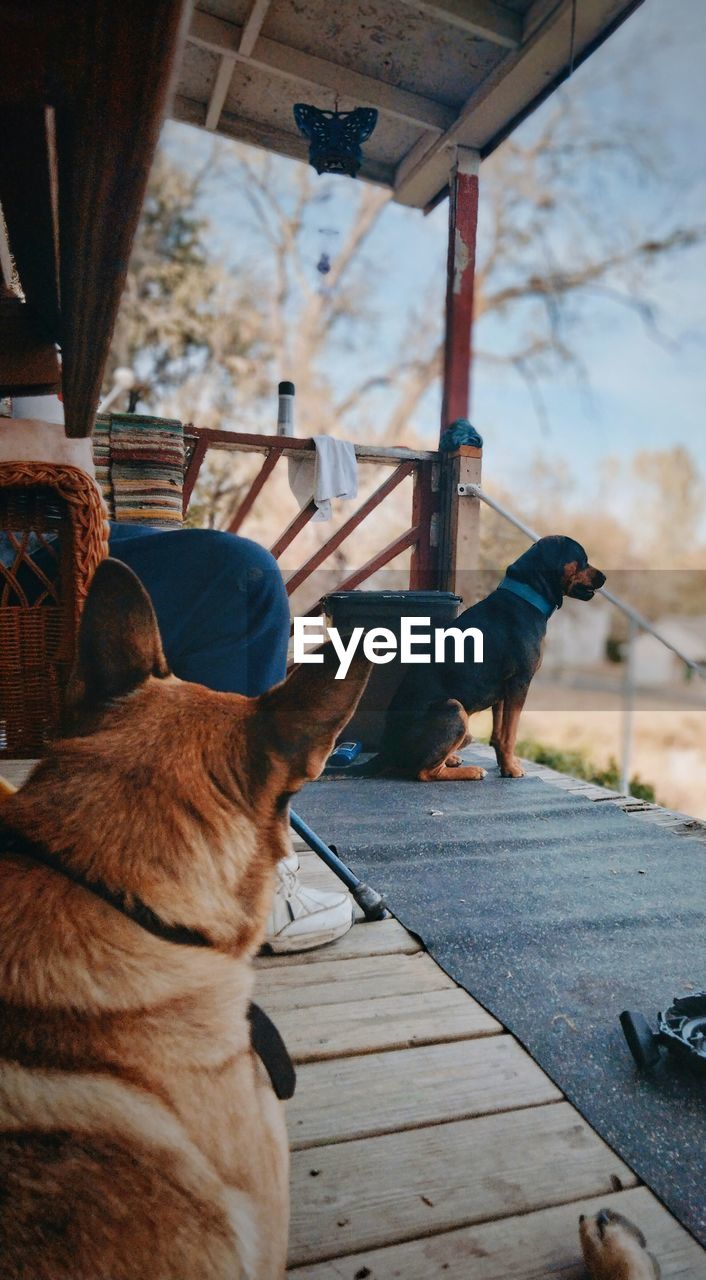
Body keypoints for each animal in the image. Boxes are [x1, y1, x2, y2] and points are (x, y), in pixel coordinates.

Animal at [350, 537, 603, 783]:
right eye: (583, 559)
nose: (605, 577)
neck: (526, 596)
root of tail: (386, 752)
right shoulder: (519, 683)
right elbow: (510, 734)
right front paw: (512, 769)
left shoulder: (503, 692)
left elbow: (499, 735)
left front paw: (505, 766)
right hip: (454, 709)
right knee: (425, 772)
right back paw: (470, 771)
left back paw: (453, 759)